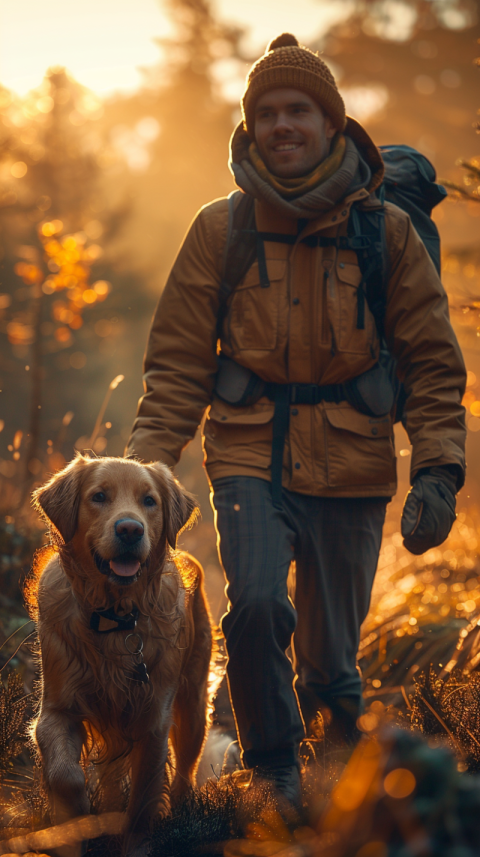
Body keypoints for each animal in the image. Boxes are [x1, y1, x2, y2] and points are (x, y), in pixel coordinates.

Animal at [28, 452, 212, 852]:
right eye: (98, 496)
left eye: (150, 501)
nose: (130, 530)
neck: (116, 619)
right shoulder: (56, 709)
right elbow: (65, 774)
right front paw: (75, 823)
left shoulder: (154, 721)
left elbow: (142, 801)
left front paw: (135, 845)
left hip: (192, 704)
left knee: (185, 769)